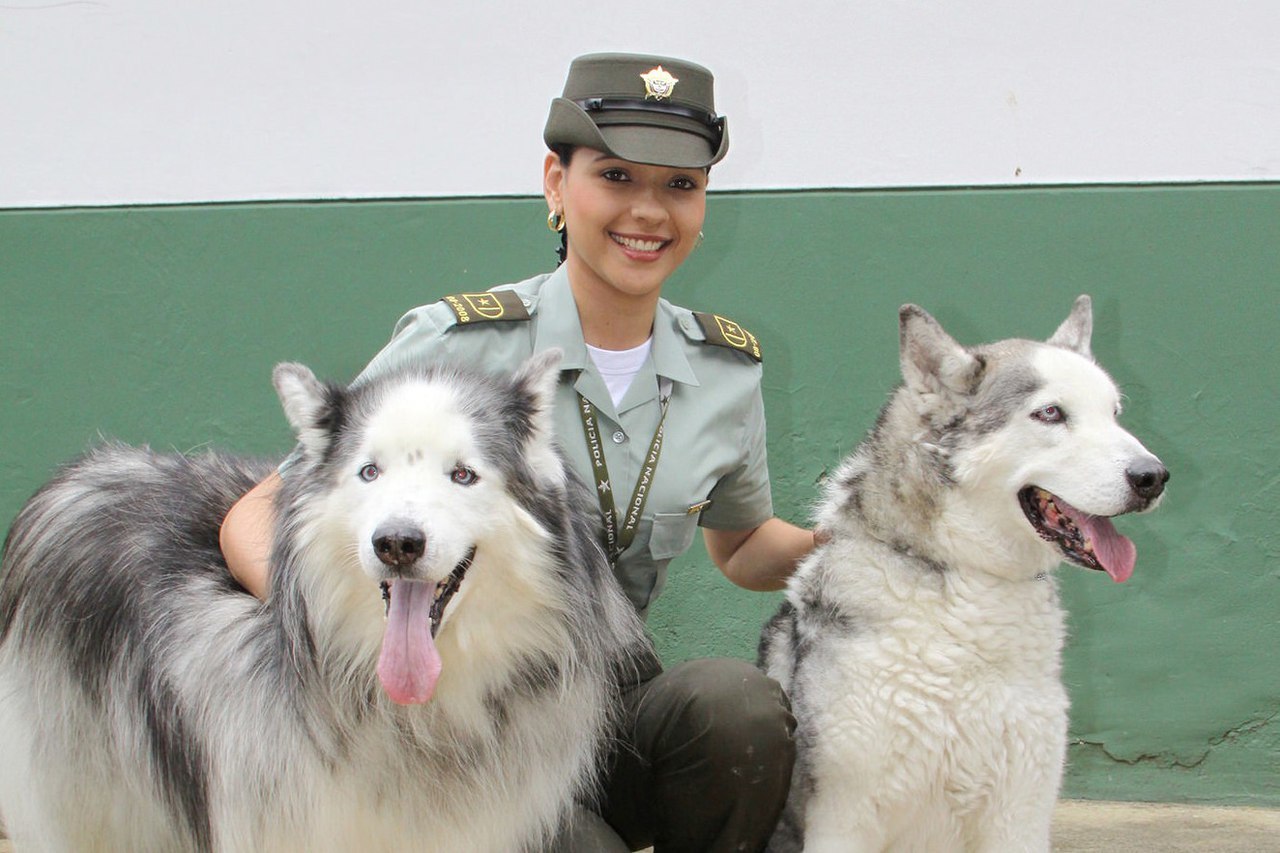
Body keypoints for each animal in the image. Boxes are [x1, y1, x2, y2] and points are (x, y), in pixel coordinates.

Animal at [757, 295, 1172, 845]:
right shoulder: (844, 817)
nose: (1154, 477)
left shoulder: (1021, 813)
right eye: (1050, 413)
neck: (968, 578)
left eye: (1115, 413)